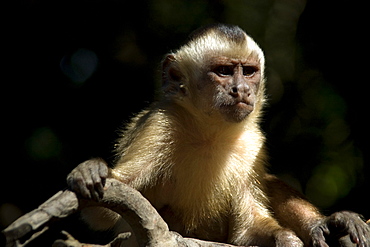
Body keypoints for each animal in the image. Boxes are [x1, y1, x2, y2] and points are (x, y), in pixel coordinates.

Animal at [67, 23, 370, 247]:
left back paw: (329, 224)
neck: (208, 132)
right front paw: (90, 169)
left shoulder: (252, 142)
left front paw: (290, 236)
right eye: (223, 71)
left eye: (248, 72)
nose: (241, 90)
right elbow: (104, 211)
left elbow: (246, 231)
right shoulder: (160, 125)